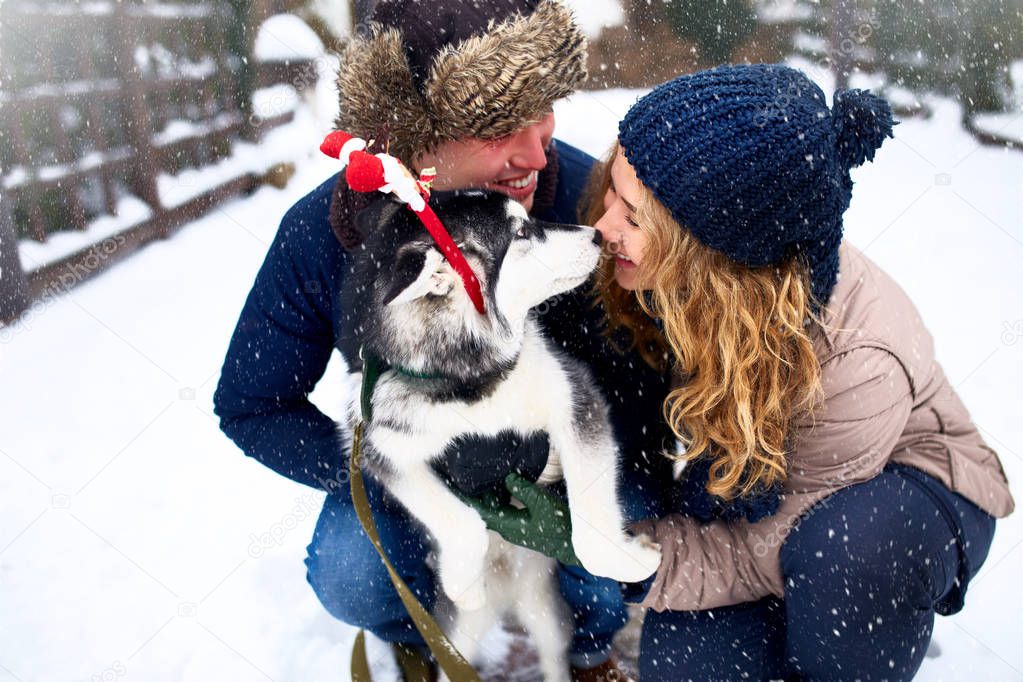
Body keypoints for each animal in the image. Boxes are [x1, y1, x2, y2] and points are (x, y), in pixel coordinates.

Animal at [339, 189, 658, 678]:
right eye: (522, 232)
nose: (598, 235)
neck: (472, 383)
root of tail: (510, 599)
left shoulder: (575, 401)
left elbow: (588, 533)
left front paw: (632, 560)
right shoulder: (381, 449)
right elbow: (458, 518)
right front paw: (461, 582)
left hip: (547, 617)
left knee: (553, 656)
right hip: (455, 636)